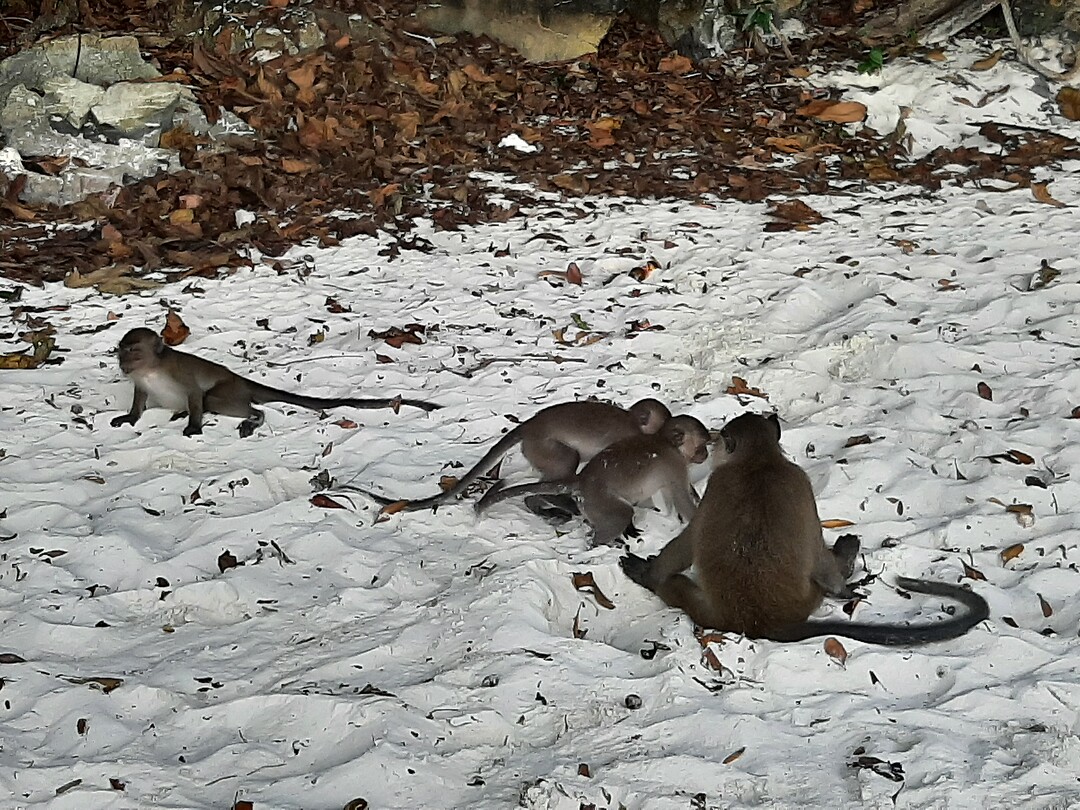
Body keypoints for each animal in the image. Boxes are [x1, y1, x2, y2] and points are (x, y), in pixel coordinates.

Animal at [109, 327, 440, 438]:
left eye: (134, 351)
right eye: (121, 350)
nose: (122, 363)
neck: (152, 369)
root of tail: (239, 379)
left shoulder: (178, 372)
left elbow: (194, 392)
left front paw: (193, 425)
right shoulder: (140, 380)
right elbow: (139, 397)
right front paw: (130, 417)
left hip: (230, 389)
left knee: (212, 399)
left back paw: (253, 417)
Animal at [474, 414, 710, 547]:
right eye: (701, 446)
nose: (706, 454)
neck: (666, 442)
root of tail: (582, 481)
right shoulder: (675, 465)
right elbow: (681, 499)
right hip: (598, 501)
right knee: (621, 513)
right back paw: (596, 544)